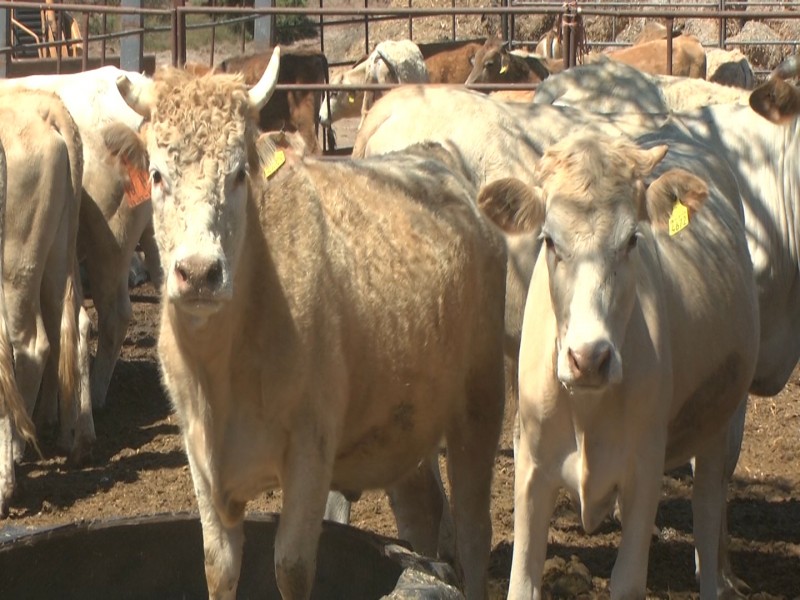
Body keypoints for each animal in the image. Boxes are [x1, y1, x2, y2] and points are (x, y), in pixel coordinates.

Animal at [478, 131, 760, 600]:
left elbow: (628, 580)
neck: (587, 412)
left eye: (632, 241)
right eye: (549, 240)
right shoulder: (531, 465)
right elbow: (523, 580)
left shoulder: (645, 469)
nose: (589, 358)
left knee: (707, 514)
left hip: (718, 419)